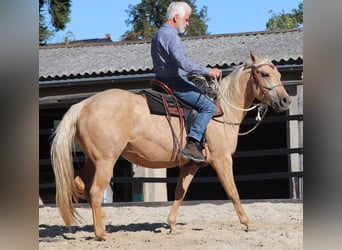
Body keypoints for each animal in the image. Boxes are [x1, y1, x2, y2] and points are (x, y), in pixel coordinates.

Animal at [50, 51, 292, 240]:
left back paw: (100, 221)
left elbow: (180, 192)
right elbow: (232, 191)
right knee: (95, 191)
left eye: (279, 74)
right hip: (105, 161)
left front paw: (172, 225)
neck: (222, 110)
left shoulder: (191, 164)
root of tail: (84, 104)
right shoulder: (222, 159)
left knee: (80, 184)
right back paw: (101, 233)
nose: (285, 101)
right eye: (264, 74)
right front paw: (248, 223)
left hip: (94, 160)